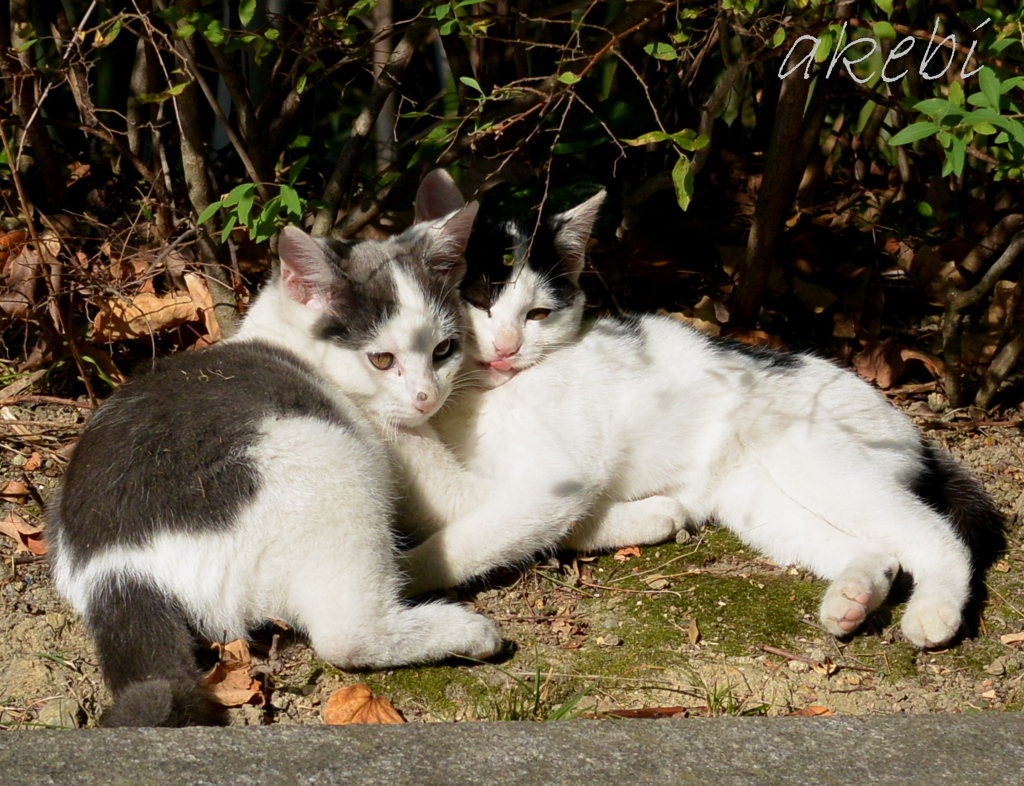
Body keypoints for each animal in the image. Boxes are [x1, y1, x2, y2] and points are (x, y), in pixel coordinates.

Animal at [48, 205, 503, 728]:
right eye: (381, 359)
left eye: (443, 350)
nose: (427, 397)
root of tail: (116, 568)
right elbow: (482, 497)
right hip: (330, 461)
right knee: (346, 636)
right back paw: (467, 632)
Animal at [395, 171, 1003, 650]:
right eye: (478, 301)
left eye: (537, 314)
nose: (506, 347)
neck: (480, 394)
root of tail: (911, 430)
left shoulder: (556, 481)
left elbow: (476, 536)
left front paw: (407, 574)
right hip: (755, 500)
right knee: (876, 549)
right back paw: (852, 597)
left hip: (811, 454)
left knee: (935, 534)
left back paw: (934, 613)